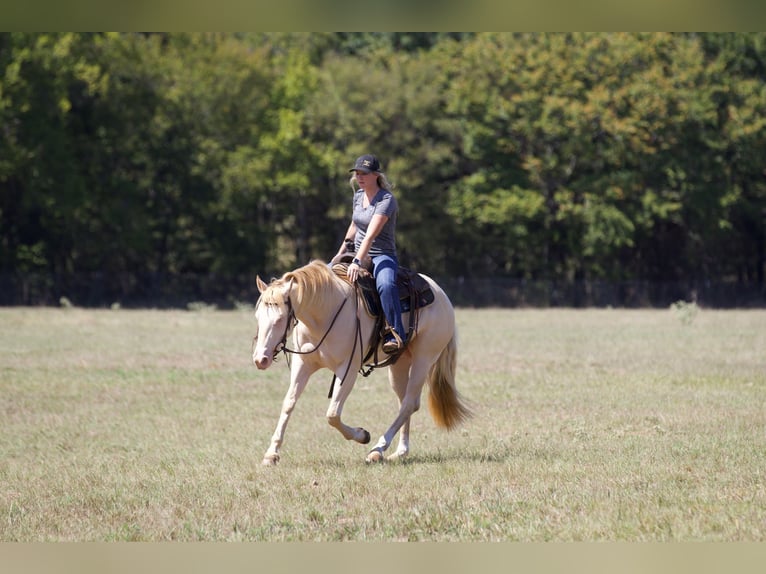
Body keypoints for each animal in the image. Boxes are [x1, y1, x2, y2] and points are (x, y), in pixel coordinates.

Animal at [252, 258, 472, 466]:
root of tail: (441, 295)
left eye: (280, 319)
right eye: (257, 317)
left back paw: (377, 449)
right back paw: (399, 452)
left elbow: (333, 414)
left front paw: (362, 435)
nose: (260, 359)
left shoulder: (347, 370)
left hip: (423, 359)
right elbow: (288, 403)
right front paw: (271, 454)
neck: (325, 313)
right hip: (399, 363)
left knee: (409, 403)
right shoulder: (302, 365)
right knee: (406, 403)